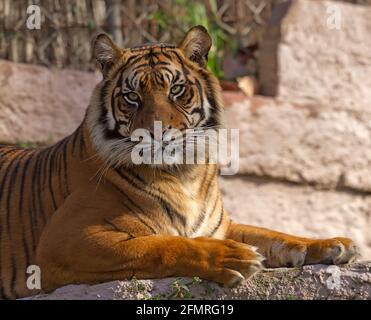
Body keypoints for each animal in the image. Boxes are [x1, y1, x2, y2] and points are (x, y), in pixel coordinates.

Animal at [0, 26, 360, 298]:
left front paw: (334, 245)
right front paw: (231, 257)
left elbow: (273, 233)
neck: (184, 173)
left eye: (176, 89)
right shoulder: (64, 240)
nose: (157, 132)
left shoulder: (222, 226)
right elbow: (162, 245)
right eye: (132, 97)